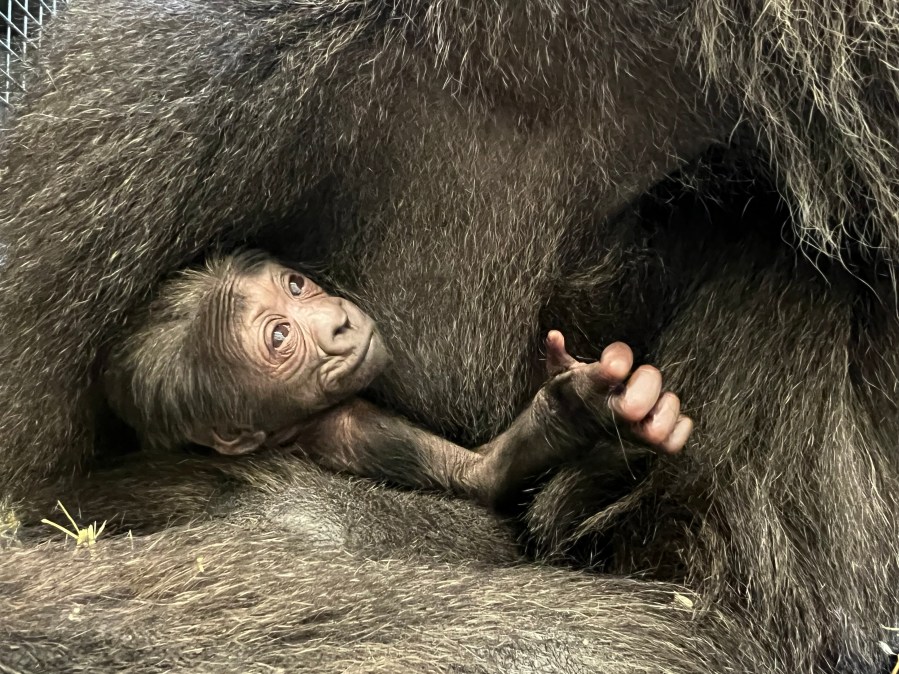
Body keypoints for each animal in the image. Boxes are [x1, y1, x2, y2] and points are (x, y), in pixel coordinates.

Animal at [105, 251, 692, 508]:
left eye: (295, 286)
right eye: (280, 337)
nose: (337, 324)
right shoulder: (344, 427)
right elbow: (480, 477)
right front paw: (575, 411)